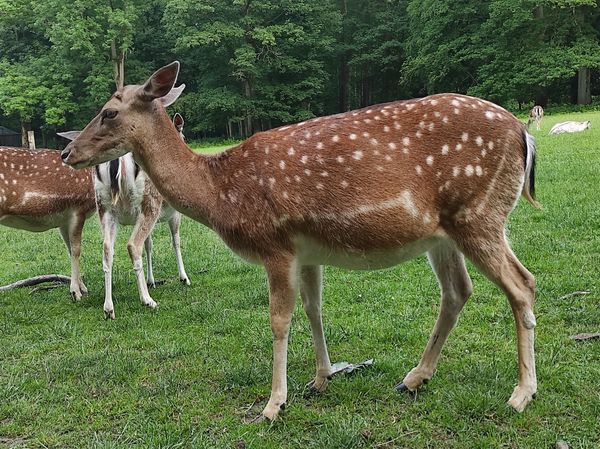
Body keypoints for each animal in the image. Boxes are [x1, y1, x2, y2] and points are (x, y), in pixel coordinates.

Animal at [63, 62, 540, 420]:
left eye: (108, 112)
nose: (68, 152)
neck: (221, 194)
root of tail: (525, 134)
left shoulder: (276, 244)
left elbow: (279, 320)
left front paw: (274, 404)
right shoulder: (308, 251)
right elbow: (313, 309)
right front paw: (321, 377)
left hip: (479, 214)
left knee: (523, 284)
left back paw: (521, 393)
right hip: (444, 233)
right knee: (459, 291)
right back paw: (413, 378)